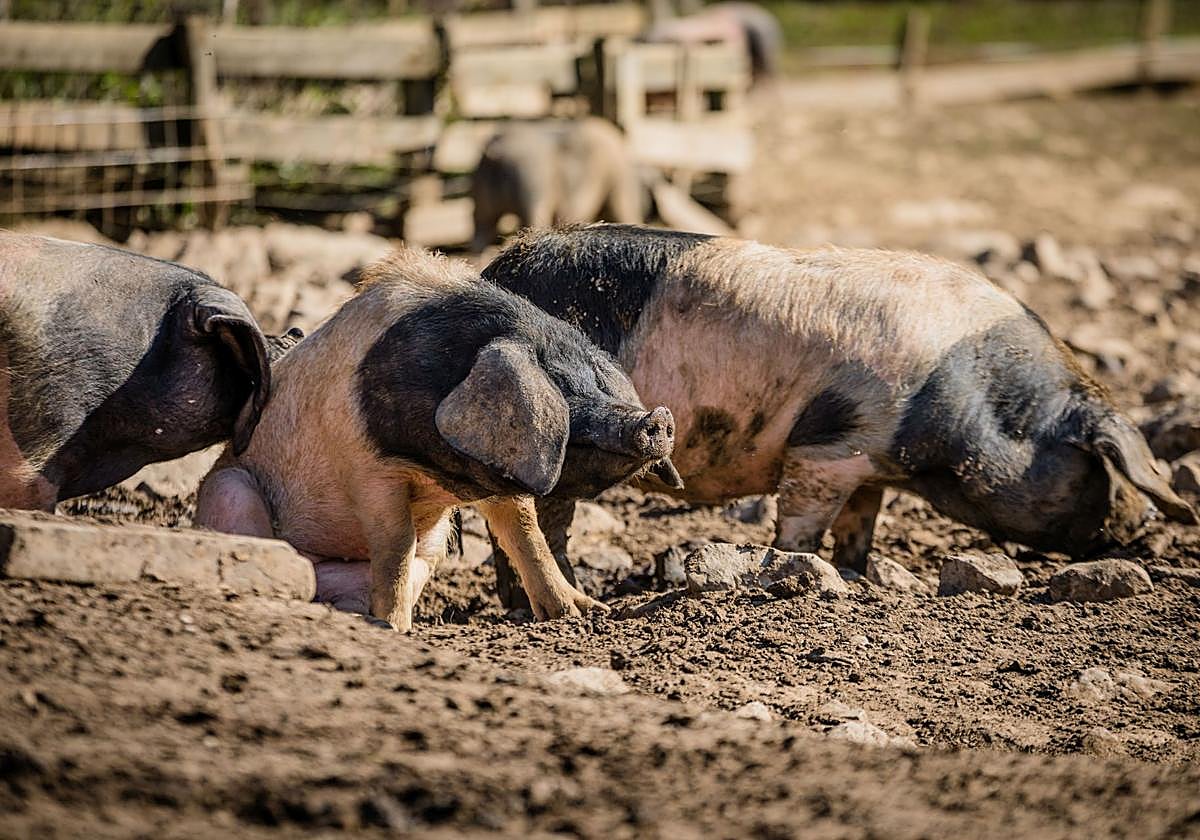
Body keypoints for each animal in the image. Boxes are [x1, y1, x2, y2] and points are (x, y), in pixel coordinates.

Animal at [194, 246, 679, 631]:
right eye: (560, 387)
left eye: (599, 381)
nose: (657, 418)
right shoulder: (371, 470)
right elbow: (395, 546)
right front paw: (395, 629)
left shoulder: (499, 475)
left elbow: (528, 535)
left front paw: (584, 613)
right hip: (227, 489)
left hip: (437, 541)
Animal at [482, 224, 1196, 594]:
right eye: (1103, 466)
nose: (1140, 528)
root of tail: (494, 270)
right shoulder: (830, 446)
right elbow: (801, 526)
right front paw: (798, 572)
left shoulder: (869, 469)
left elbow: (860, 526)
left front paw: (861, 577)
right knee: (538, 523)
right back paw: (571, 597)